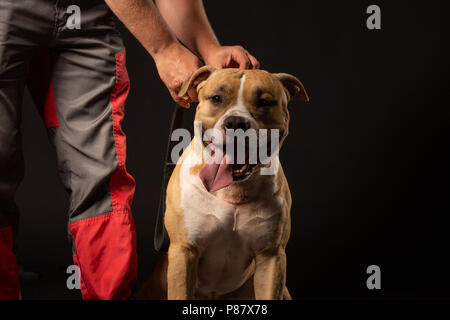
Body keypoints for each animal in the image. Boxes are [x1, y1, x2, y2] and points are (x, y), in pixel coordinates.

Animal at [140, 65, 310, 300]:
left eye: (264, 102)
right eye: (217, 98)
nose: (236, 123)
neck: (233, 191)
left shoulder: (271, 256)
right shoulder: (184, 251)